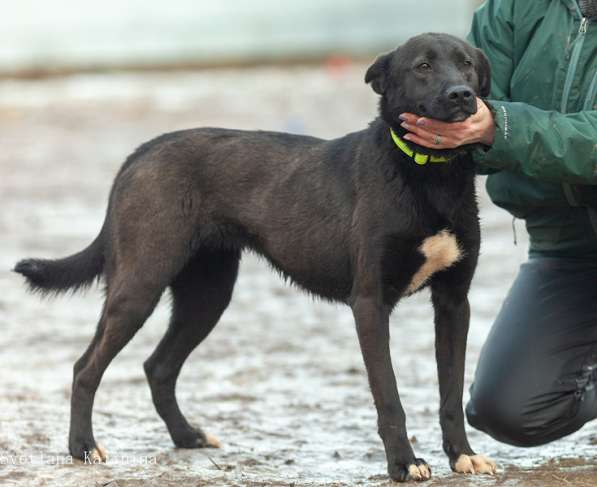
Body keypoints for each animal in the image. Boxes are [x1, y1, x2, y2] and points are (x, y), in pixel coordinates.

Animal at [16, 33, 496, 480]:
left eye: (467, 65)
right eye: (422, 66)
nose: (461, 95)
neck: (427, 174)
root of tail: (142, 152)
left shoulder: (454, 303)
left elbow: (451, 392)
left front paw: (462, 455)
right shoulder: (370, 304)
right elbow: (390, 397)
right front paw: (404, 464)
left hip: (207, 296)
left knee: (158, 367)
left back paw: (186, 436)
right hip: (140, 284)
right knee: (85, 367)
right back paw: (83, 447)